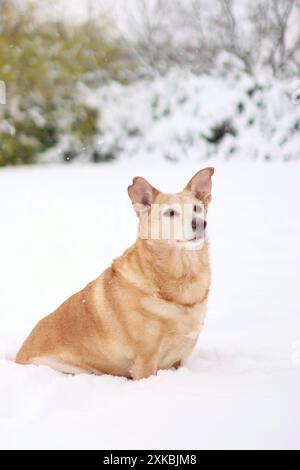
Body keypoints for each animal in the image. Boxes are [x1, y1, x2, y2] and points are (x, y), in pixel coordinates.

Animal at [15, 167, 213, 380]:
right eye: (170, 213)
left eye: (197, 208)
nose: (200, 223)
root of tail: (17, 357)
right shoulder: (145, 359)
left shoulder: (177, 361)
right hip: (75, 369)